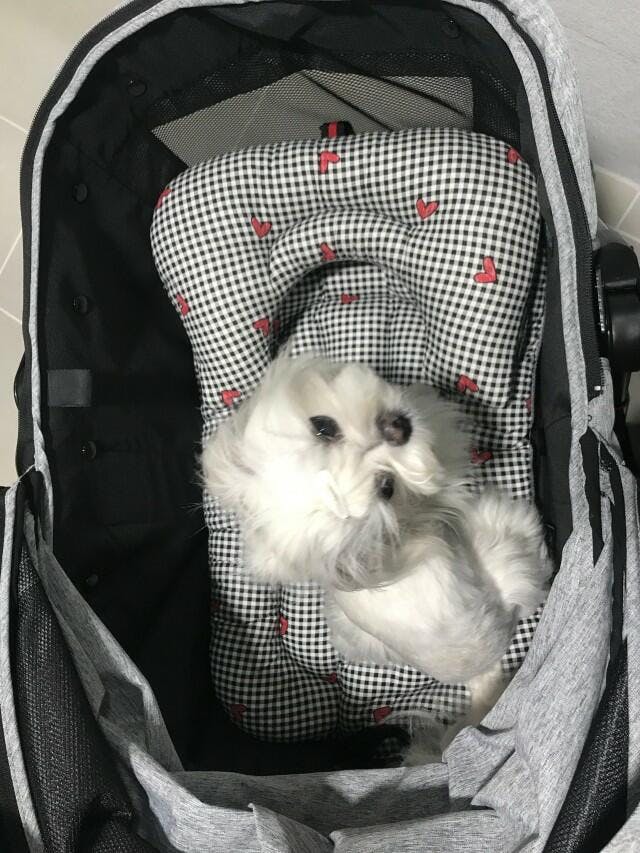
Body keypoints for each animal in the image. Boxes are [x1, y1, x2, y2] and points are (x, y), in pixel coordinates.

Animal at [202, 352, 551, 758]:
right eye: (387, 488)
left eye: (323, 426)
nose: (397, 428)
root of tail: (481, 674)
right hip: (503, 555)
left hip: (353, 634)